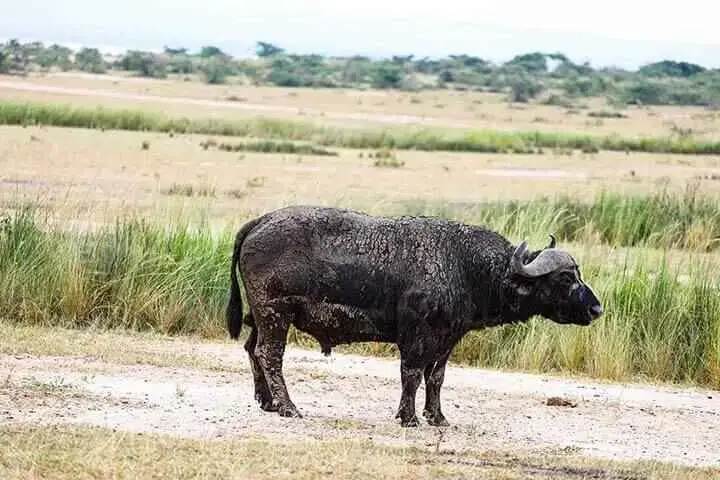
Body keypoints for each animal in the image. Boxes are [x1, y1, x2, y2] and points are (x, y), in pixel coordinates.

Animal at [225, 206, 600, 428]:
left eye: (577, 273)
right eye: (565, 278)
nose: (596, 308)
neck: (464, 266)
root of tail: (260, 222)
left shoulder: (448, 338)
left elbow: (436, 378)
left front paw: (437, 416)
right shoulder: (416, 337)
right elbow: (412, 375)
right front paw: (408, 417)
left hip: (262, 318)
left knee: (252, 349)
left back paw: (268, 401)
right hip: (275, 314)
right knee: (270, 355)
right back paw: (288, 406)